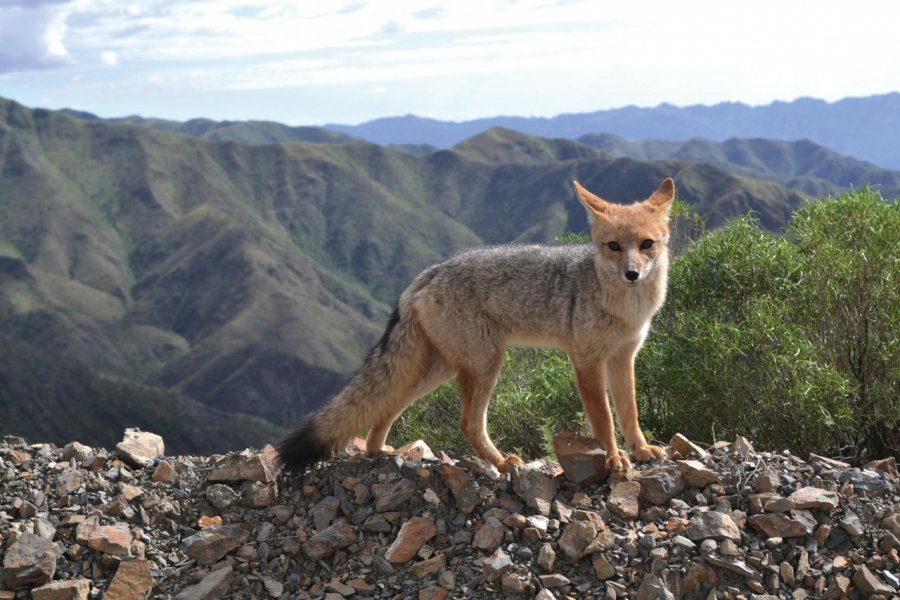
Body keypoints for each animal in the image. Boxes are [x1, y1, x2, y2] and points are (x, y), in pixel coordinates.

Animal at [278, 177, 680, 474]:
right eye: (613, 246)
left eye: (646, 244)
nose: (632, 274)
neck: (626, 308)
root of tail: (427, 274)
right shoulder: (587, 362)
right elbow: (604, 420)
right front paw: (614, 459)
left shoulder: (623, 357)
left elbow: (630, 411)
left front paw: (641, 449)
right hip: (486, 363)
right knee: (468, 422)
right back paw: (501, 463)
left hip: (441, 369)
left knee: (389, 404)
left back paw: (379, 451)